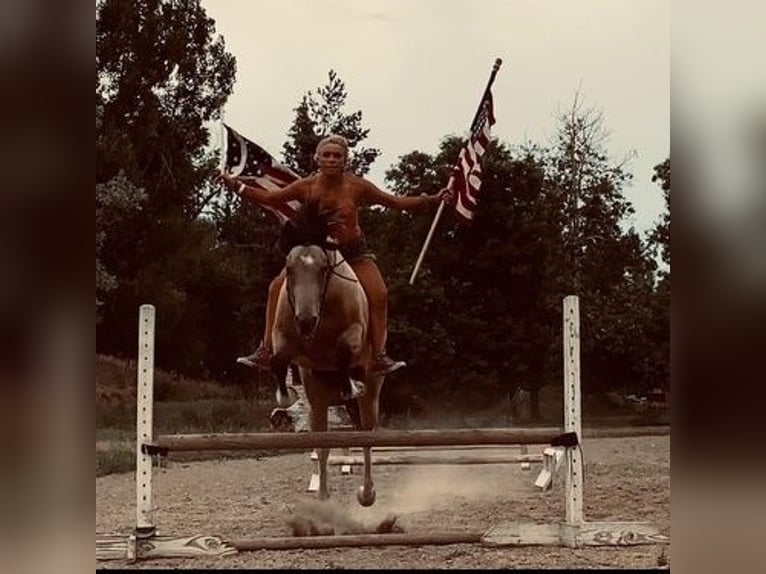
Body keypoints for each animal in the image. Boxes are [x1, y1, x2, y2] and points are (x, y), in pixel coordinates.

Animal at [268, 204, 384, 508]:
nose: (306, 320)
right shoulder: (285, 339)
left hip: (372, 395)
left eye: (323, 269)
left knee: (367, 436)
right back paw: (322, 497)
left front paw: (350, 384)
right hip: (318, 400)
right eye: (289, 267)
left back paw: (367, 494)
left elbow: (344, 353)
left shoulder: (354, 334)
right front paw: (285, 396)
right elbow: (278, 360)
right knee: (322, 444)